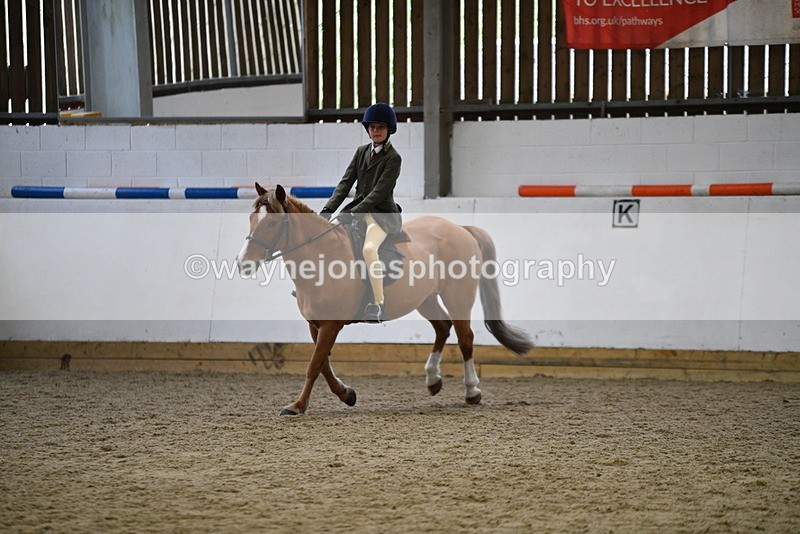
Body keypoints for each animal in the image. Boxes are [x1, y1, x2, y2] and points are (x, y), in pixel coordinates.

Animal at [236, 183, 534, 416]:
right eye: (251, 219)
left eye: (272, 222)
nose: (243, 264)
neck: (323, 255)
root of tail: (460, 228)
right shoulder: (316, 324)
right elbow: (323, 366)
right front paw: (347, 394)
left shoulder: (331, 324)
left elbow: (314, 365)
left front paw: (297, 406)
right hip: (425, 299)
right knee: (442, 328)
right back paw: (432, 380)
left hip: (458, 298)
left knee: (465, 338)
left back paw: (472, 391)